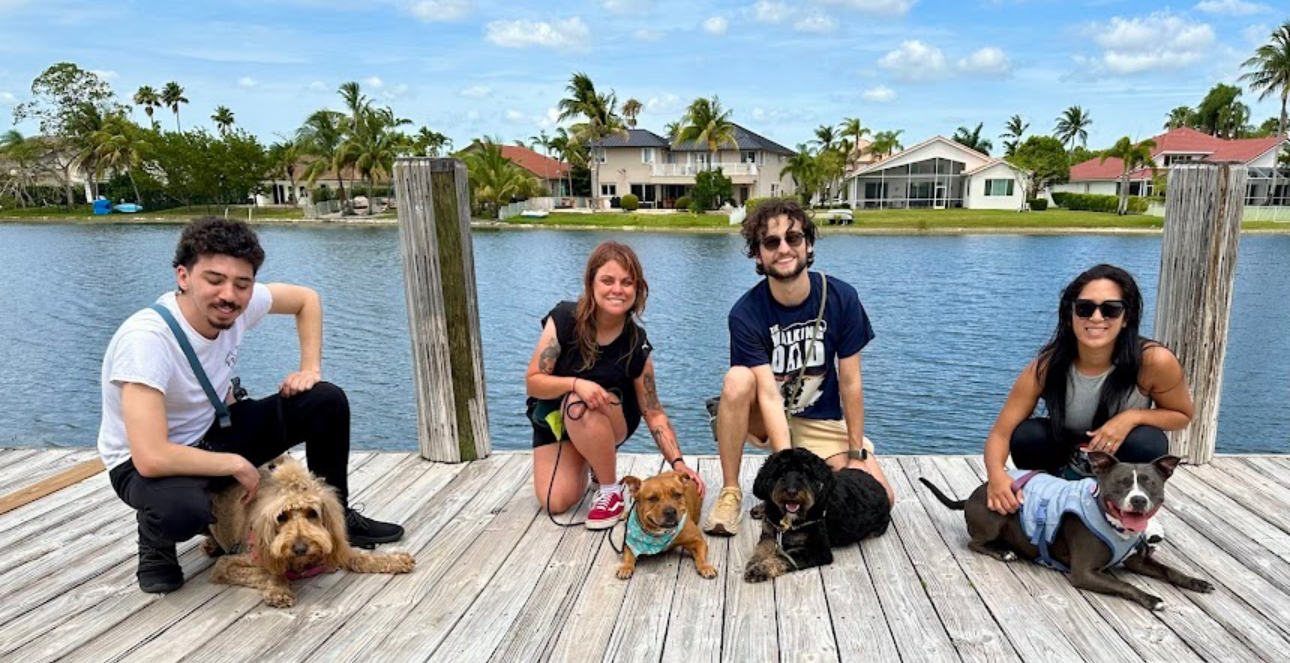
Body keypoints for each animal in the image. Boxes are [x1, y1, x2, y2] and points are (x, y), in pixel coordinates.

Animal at [204, 456, 415, 608]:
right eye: (281, 517)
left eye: (312, 513)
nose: (299, 548)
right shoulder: (226, 566)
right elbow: (268, 572)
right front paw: (279, 591)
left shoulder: (340, 550)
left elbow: (363, 557)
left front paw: (396, 560)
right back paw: (211, 545)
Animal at [744, 448, 892, 583]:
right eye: (781, 472)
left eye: (805, 472)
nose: (792, 492)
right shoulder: (770, 532)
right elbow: (761, 548)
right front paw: (754, 562)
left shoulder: (819, 550)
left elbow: (785, 557)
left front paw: (760, 569)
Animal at [918, 452, 1213, 610]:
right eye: (1120, 483)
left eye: (1150, 483)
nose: (1138, 500)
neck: (1116, 527)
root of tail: (972, 495)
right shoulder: (1084, 573)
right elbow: (1124, 585)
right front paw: (1151, 599)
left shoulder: (1137, 561)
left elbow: (1169, 570)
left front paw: (1196, 582)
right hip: (995, 519)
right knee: (974, 543)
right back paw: (1003, 552)